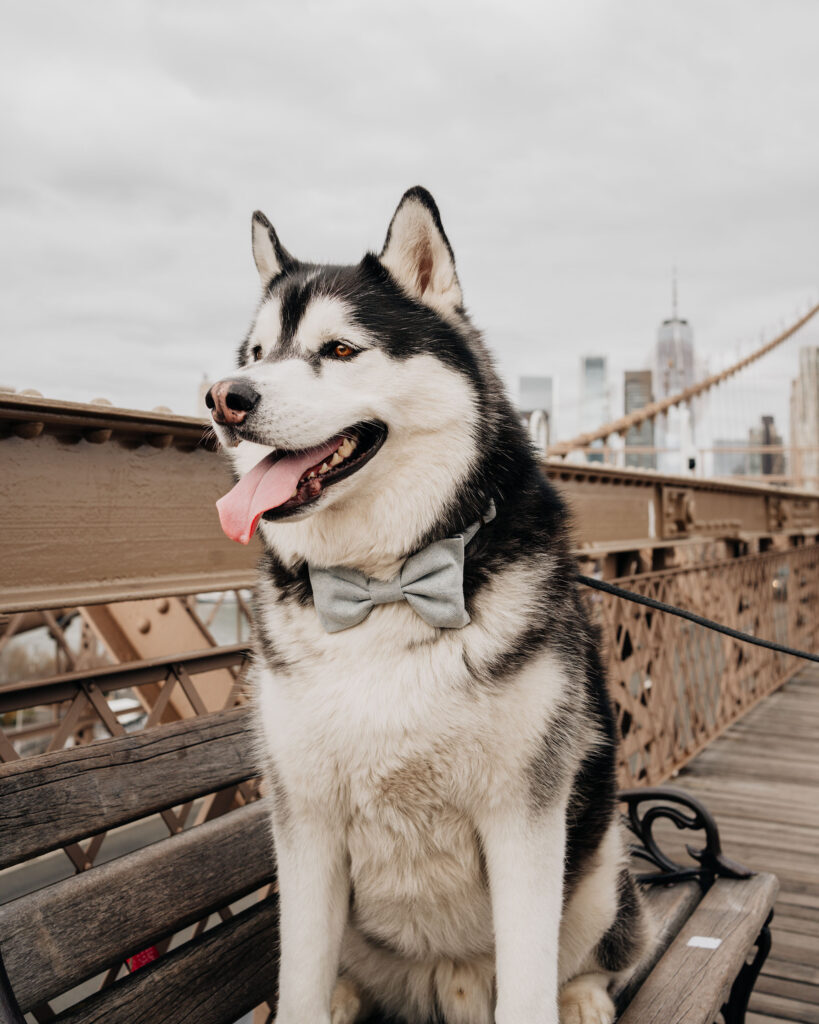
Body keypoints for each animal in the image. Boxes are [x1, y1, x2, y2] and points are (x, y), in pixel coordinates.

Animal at [207, 186, 651, 1024]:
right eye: (253, 355)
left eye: (340, 350)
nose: (224, 399)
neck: (384, 586)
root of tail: (446, 976)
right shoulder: (305, 823)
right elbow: (299, 979)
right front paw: (312, 1000)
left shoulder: (524, 819)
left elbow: (528, 985)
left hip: (600, 854)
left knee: (587, 954)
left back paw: (582, 995)